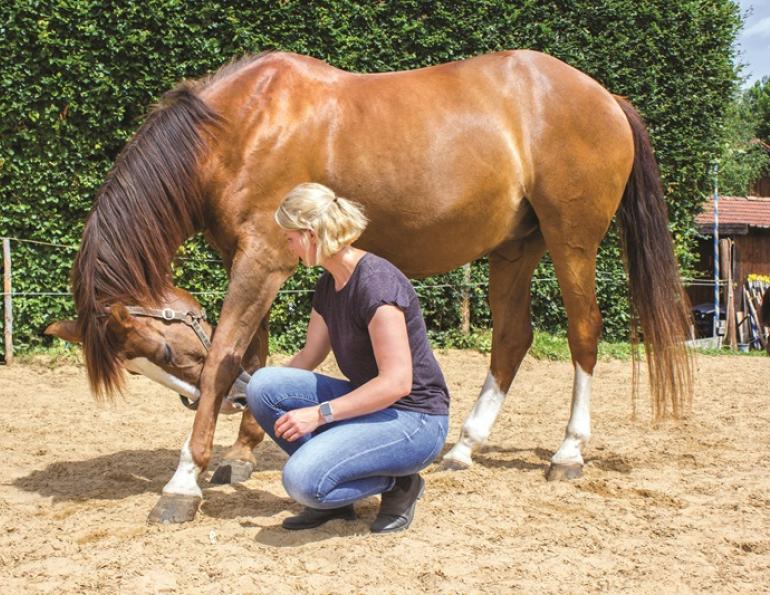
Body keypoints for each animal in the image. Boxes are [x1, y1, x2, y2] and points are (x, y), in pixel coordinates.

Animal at [47, 50, 693, 524]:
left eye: (161, 350)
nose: (231, 410)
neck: (241, 125)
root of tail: (604, 96)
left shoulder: (261, 259)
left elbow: (226, 356)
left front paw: (185, 479)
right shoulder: (249, 259)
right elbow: (255, 353)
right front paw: (240, 455)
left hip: (571, 243)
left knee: (584, 333)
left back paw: (568, 452)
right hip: (515, 249)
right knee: (512, 338)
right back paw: (463, 447)